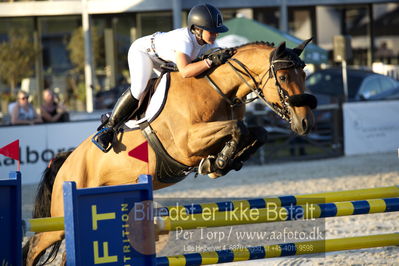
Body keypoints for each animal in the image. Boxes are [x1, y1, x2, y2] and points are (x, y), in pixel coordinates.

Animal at [24, 38, 318, 264]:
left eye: (304, 75)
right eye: (283, 77)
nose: (305, 123)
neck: (216, 87)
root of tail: (66, 162)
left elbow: (255, 132)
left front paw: (224, 161)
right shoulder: (188, 143)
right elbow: (238, 128)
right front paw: (219, 162)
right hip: (60, 217)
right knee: (35, 245)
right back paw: (105, 134)